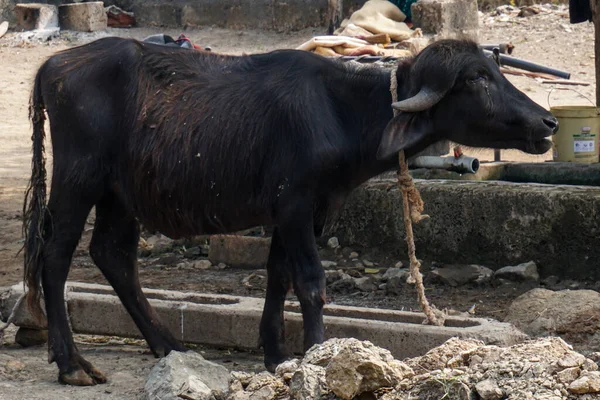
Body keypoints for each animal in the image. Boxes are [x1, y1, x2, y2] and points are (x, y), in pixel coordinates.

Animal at [22, 37, 556, 384]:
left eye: (497, 71)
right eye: (477, 78)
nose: (547, 122)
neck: (340, 110)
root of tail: (53, 66)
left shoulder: (303, 211)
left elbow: (278, 276)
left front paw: (277, 353)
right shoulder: (297, 205)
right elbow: (311, 284)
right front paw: (317, 352)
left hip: (120, 193)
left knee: (113, 256)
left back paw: (167, 344)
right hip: (79, 178)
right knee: (56, 255)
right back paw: (72, 364)